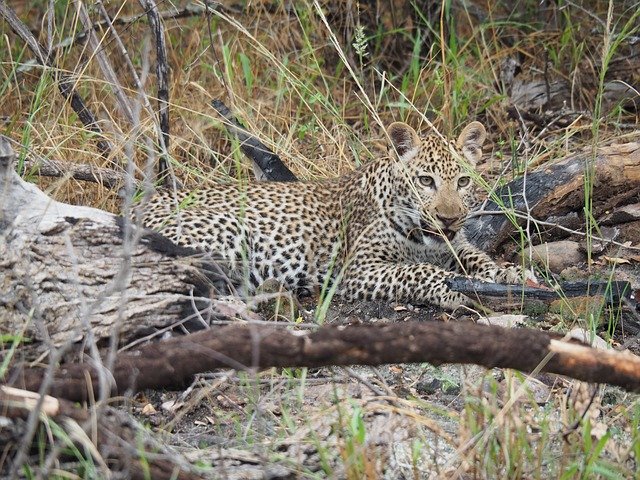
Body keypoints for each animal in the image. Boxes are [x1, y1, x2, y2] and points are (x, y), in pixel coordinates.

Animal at [144, 122, 528, 310]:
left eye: (463, 181)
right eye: (425, 181)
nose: (448, 219)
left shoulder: (454, 247)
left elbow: (478, 258)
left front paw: (514, 275)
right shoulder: (357, 269)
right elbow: (419, 271)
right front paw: (454, 289)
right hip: (227, 227)